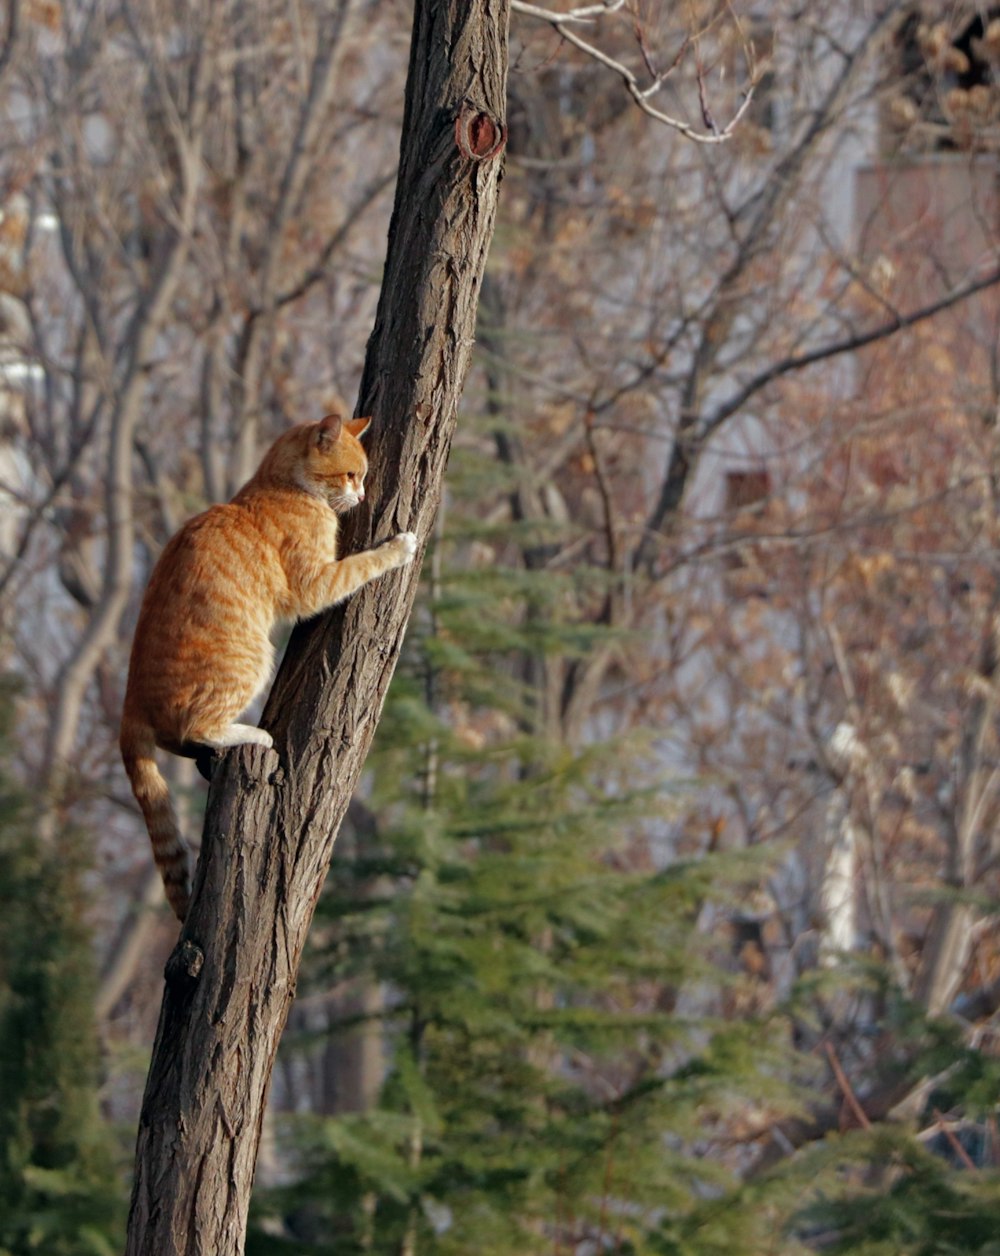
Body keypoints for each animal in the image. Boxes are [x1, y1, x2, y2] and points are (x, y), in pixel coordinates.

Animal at [121, 416, 417, 919]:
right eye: (351, 475)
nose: (361, 497)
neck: (278, 484)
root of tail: (131, 700)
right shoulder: (317, 582)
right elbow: (365, 563)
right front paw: (400, 546)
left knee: (178, 739)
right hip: (253, 659)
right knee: (198, 727)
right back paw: (253, 735)